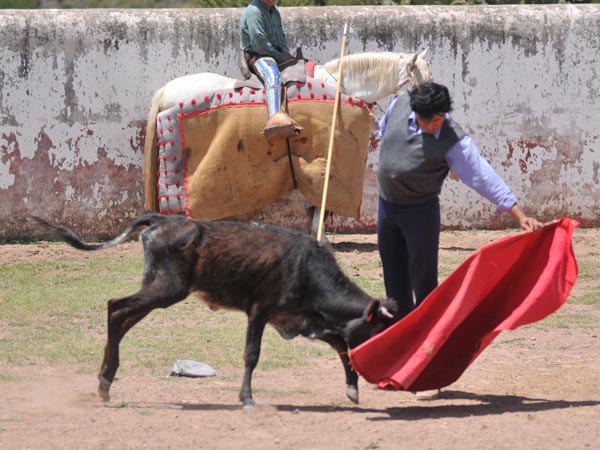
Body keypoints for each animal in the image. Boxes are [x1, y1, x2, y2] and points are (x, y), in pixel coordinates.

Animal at [34, 214, 398, 412]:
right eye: (381, 332)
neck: (308, 269)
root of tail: (162, 219)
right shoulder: (260, 311)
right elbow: (252, 354)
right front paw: (247, 400)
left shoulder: (298, 320)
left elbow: (340, 345)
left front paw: (352, 390)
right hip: (166, 290)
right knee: (115, 308)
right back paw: (105, 381)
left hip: (158, 291)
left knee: (122, 318)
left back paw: (105, 382)